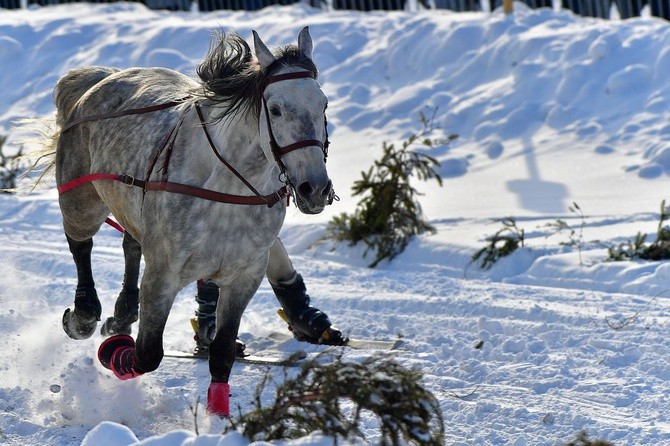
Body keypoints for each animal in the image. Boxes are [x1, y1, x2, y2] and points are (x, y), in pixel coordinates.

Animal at [45, 27, 334, 416]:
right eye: (275, 109)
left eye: (323, 105)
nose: (314, 188)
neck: (227, 188)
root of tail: (102, 77)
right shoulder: (163, 274)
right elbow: (147, 353)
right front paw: (114, 352)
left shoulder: (244, 277)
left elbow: (222, 352)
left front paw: (218, 415)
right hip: (82, 201)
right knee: (81, 243)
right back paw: (86, 313)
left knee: (131, 244)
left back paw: (123, 312)